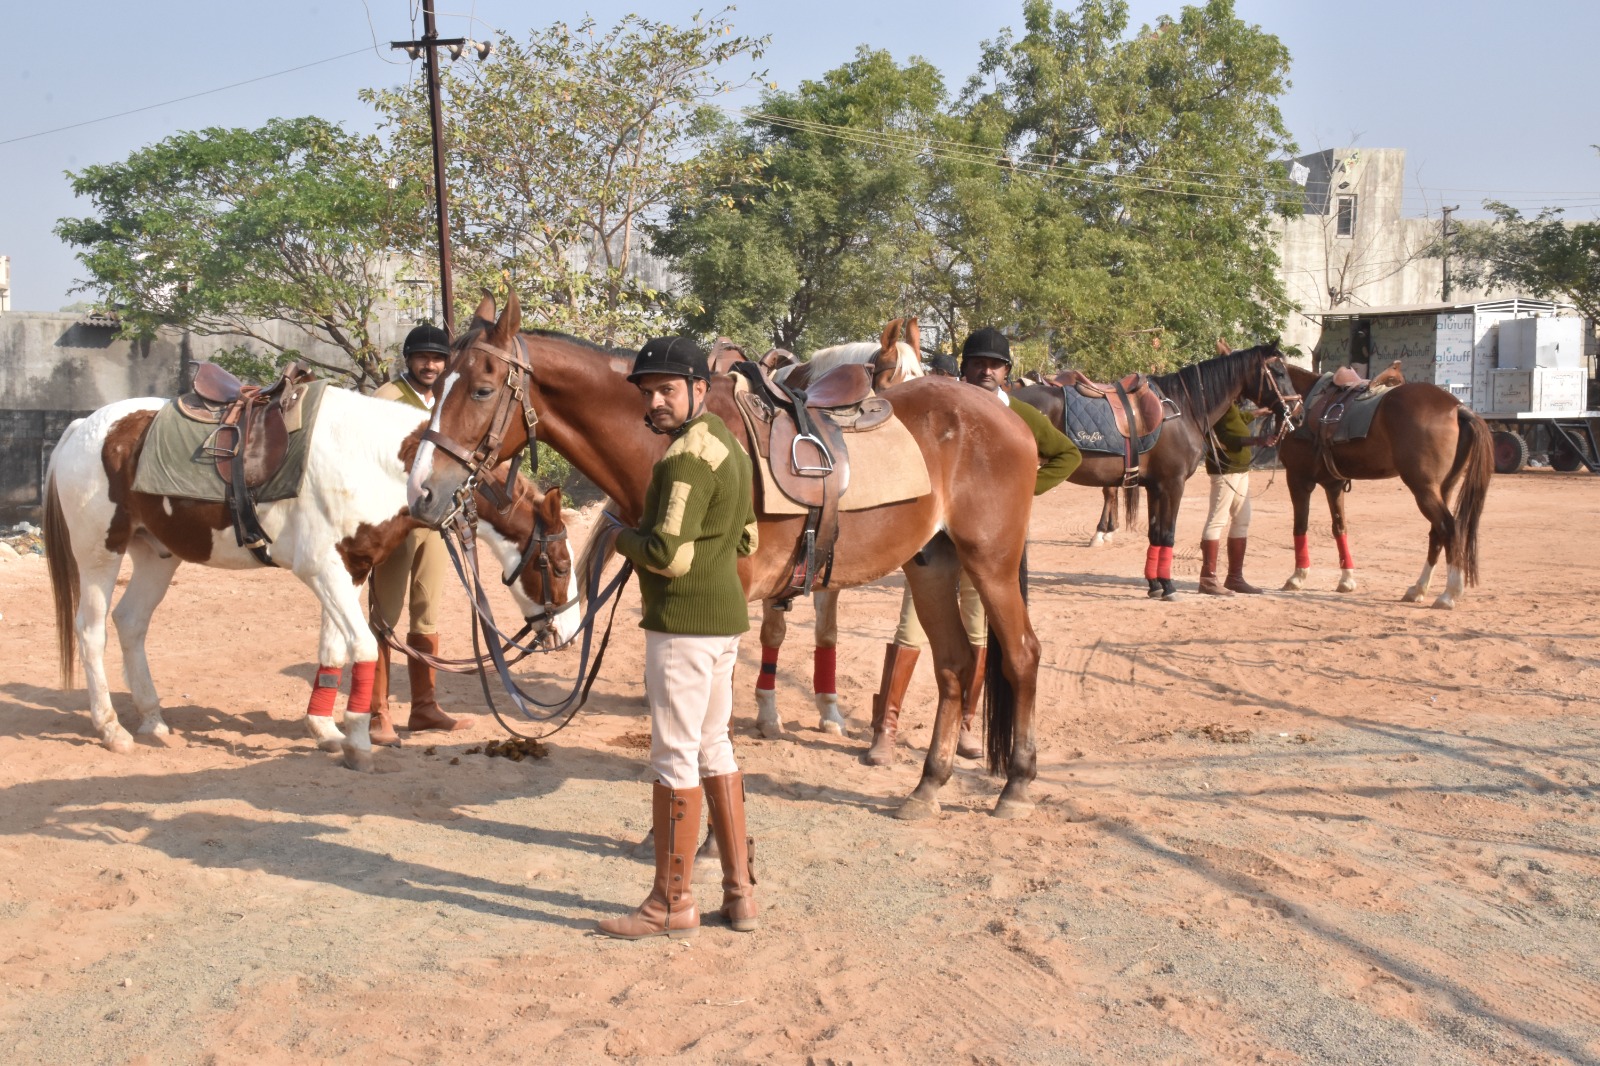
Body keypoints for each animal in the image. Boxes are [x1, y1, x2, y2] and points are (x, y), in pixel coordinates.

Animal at [39, 385, 582, 768]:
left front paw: (325, 731)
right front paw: (358, 741)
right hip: (100, 553)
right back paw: (112, 729)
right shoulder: (322, 570)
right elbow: (363, 647)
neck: (377, 461)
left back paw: (152, 721)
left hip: (157, 555)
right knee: (91, 631)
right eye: (559, 565)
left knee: (130, 623)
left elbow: (335, 649)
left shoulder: (350, 570)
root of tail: (81, 427)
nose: (570, 630)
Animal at [406, 294, 1043, 816]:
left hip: (990, 563)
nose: (422, 490)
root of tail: (1004, 415)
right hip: (932, 564)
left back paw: (1016, 784)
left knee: (1021, 654)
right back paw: (928, 786)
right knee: (954, 664)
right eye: (437, 389)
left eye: (482, 389)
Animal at [1011, 344, 1299, 601]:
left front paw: (1155, 585)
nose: (1297, 413)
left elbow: (1155, 533)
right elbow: (1167, 534)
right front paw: (1169, 586)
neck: (1184, 408)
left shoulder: (1155, 487)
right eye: (1279, 372)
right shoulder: (1173, 485)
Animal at [1267, 361, 1491, 605]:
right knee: (1437, 533)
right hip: (1444, 488)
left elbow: (1300, 526)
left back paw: (1449, 593)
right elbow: (1339, 527)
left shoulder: (1298, 479)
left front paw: (1298, 576)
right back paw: (1418, 588)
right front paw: (1346, 579)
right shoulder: (1333, 484)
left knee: (1448, 529)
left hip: (1424, 489)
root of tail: (1457, 408)